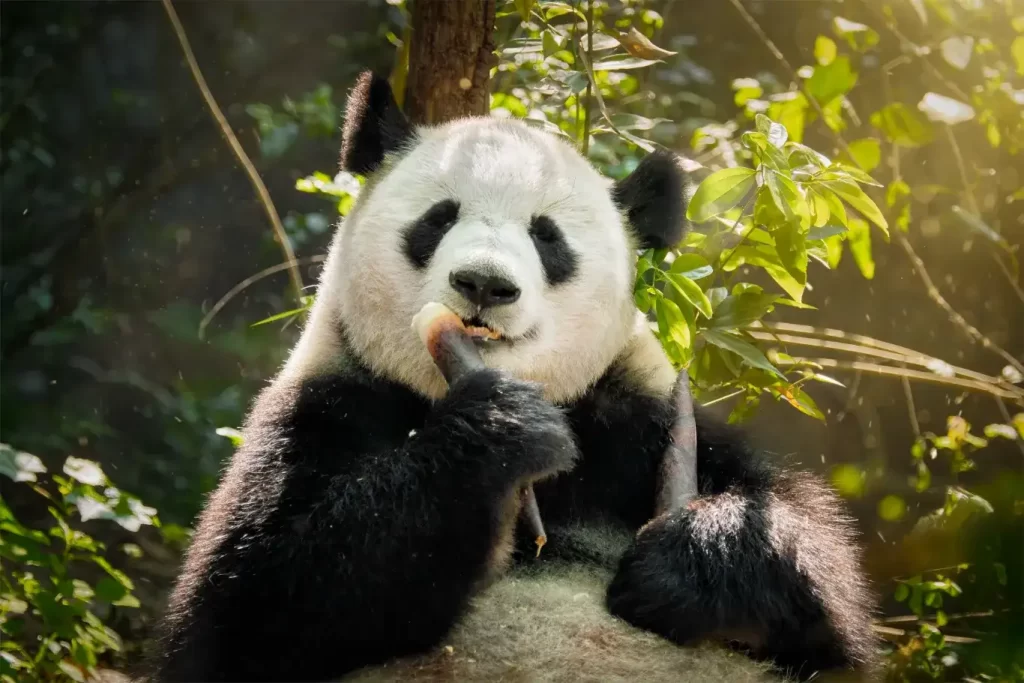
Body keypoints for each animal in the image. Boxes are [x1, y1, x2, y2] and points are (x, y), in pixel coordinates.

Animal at [150, 72, 877, 683]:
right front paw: (501, 428)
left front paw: (687, 560)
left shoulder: (639, 417)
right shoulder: (328, 402)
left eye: (547, 237)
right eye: (439, 217)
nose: (484, 285)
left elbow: (816, 574)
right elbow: (249, 605)